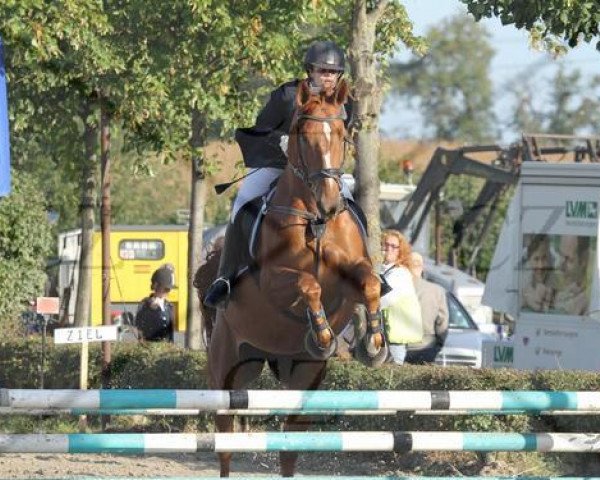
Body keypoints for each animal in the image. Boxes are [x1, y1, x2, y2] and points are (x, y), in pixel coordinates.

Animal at [197, 79, 384, 476]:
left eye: (342, 134)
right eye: (302, 135)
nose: (329, 203)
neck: (315, 221)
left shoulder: (352, 277)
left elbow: (370, 283)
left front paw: (373, 343)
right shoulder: (273, 281)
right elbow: (307, 284)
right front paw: (323, 334)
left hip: (302, 376)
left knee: (289, 444)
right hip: (228, 367)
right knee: (225, 442)